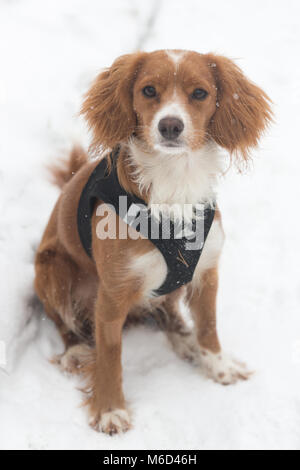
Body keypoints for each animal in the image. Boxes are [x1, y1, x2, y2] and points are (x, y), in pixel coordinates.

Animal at [33, 49, 272, 436]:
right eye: (148, 90)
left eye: (200, 93)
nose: (170, 126)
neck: (174, 182)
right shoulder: (112, 294)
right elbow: (109, 356)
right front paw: (110, 410)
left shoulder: (206, 274)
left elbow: (209, 328)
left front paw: (219, 367)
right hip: (53, 270)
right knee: (64, 322)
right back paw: (75, 352)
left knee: (166, 311)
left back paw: (185, 340)